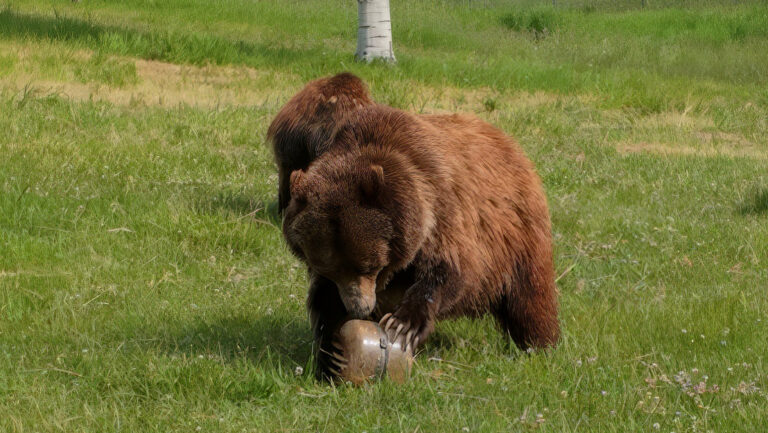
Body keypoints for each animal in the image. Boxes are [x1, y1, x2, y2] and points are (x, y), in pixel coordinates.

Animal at [281, 103, 560, 379]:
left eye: (369, 265)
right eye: (330, 269)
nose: (360, 308)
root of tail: (508, 142)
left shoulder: (440, 205)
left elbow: (450, 268)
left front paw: (402, 324)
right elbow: (325, 301)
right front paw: (330, 353)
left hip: (518, 236)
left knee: (529, 298)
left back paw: (539, 346)